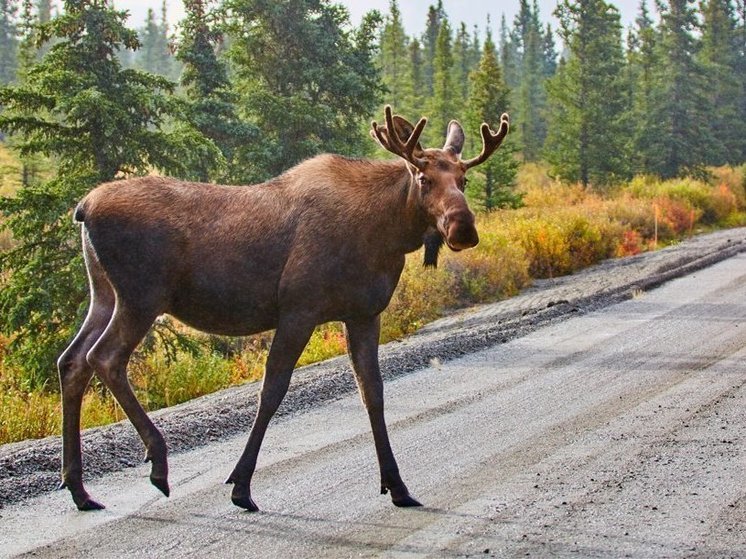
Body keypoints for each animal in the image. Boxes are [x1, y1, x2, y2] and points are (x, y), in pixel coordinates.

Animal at [58, 105, 508, 512]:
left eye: (464, 178)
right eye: (423, 177)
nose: (463, 228)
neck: (386, 233)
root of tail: (83, 208)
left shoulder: (363, 314)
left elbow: (373, 393)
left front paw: (396, 485)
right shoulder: (298, 309)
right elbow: (272, 390)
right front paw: (241, 486)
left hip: (104, 295)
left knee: (72, 360)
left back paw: (80, 490)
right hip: (141, 297)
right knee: (104, 358)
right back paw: (157, 462)